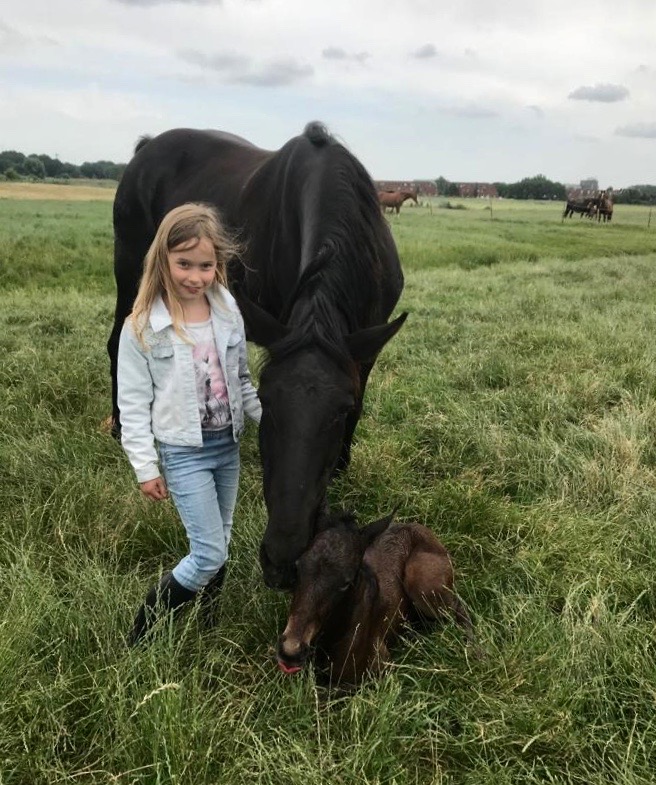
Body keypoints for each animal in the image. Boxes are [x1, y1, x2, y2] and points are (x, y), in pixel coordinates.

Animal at [109, 122, 404, 588]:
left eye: (339, 411)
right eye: (265, 401)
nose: (282, 561)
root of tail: (147, 148)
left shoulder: (365, 347)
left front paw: (341, 466)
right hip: (131, 269)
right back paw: (120, 424)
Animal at [274, 512, 474, 684]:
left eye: (346, 582)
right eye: (297, 567)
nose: (290, 651)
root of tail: (422, 528)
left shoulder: (379, 669)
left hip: (422, 586)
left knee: (457, 606)